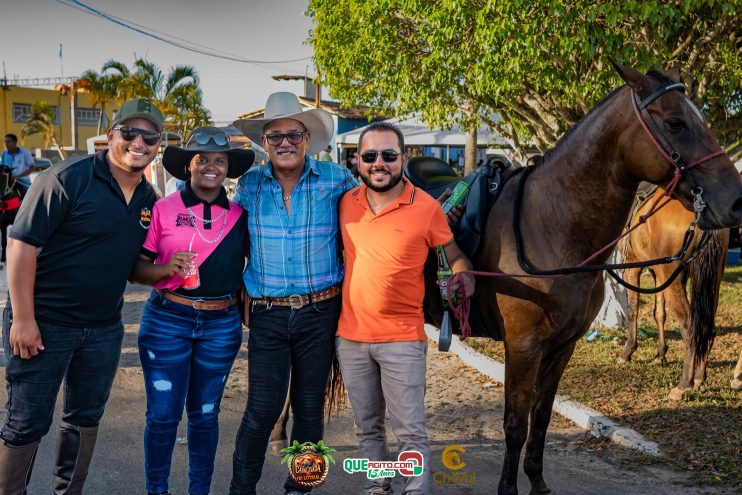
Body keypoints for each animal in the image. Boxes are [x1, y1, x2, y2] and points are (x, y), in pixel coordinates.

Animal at [620, 188, 728, 402]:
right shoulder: (659, 273)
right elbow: (659, 313)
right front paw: (661, 355)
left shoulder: (632, 266)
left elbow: (633, 310)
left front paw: (628, 351)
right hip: (713, 277)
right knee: (707, 327)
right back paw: (699, 379)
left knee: (689, 326)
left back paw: (684, 384)